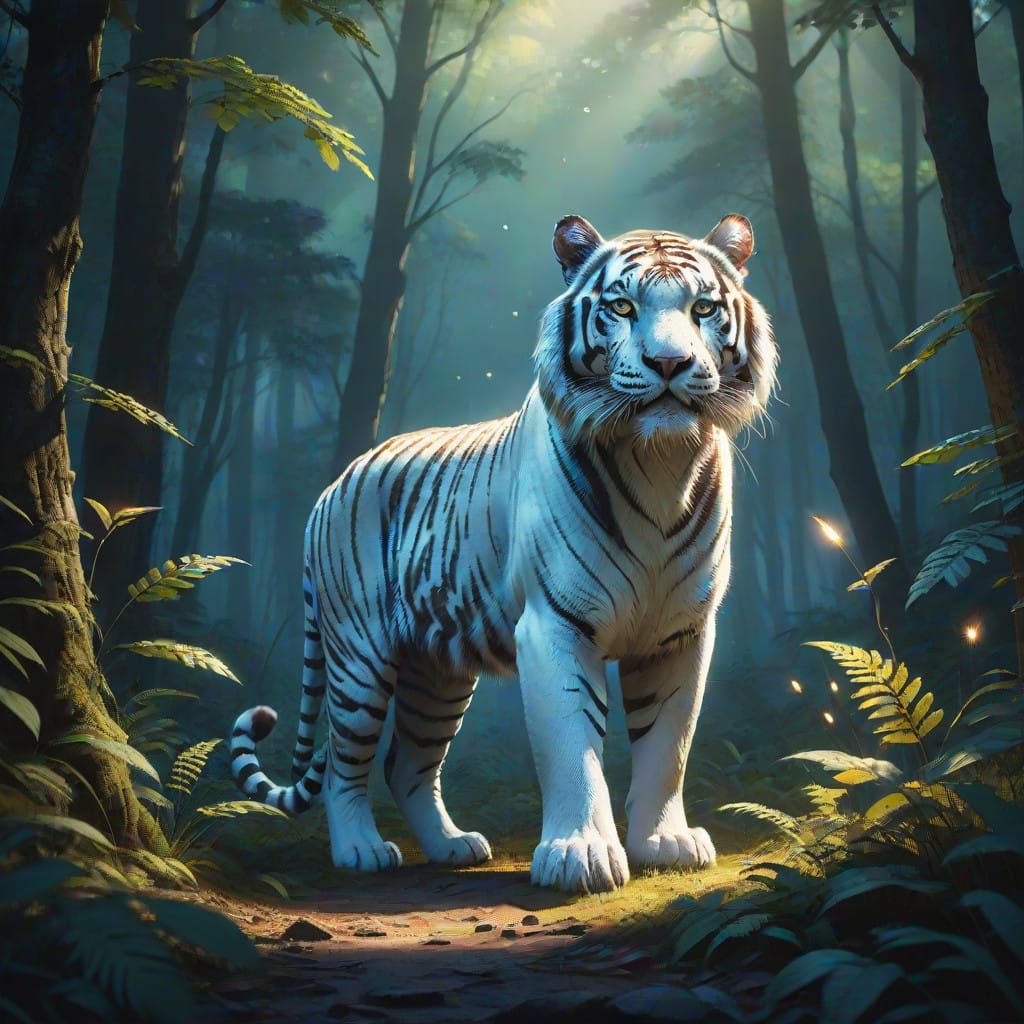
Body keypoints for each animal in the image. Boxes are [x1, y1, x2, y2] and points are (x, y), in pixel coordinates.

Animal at [230, 212, 777, 893]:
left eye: (703, 308)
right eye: (622, 306)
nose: (670, 362)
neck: (661, 461)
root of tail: (333, 485)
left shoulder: (679, 632)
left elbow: (667, 744)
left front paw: (664, 843)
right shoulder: (555, 625)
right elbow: (572, 746)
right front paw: (580, 855)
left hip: (436, 674)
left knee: (407, 763)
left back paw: (452, 846)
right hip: (359, 658)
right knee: (342, 764)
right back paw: (361, 850)